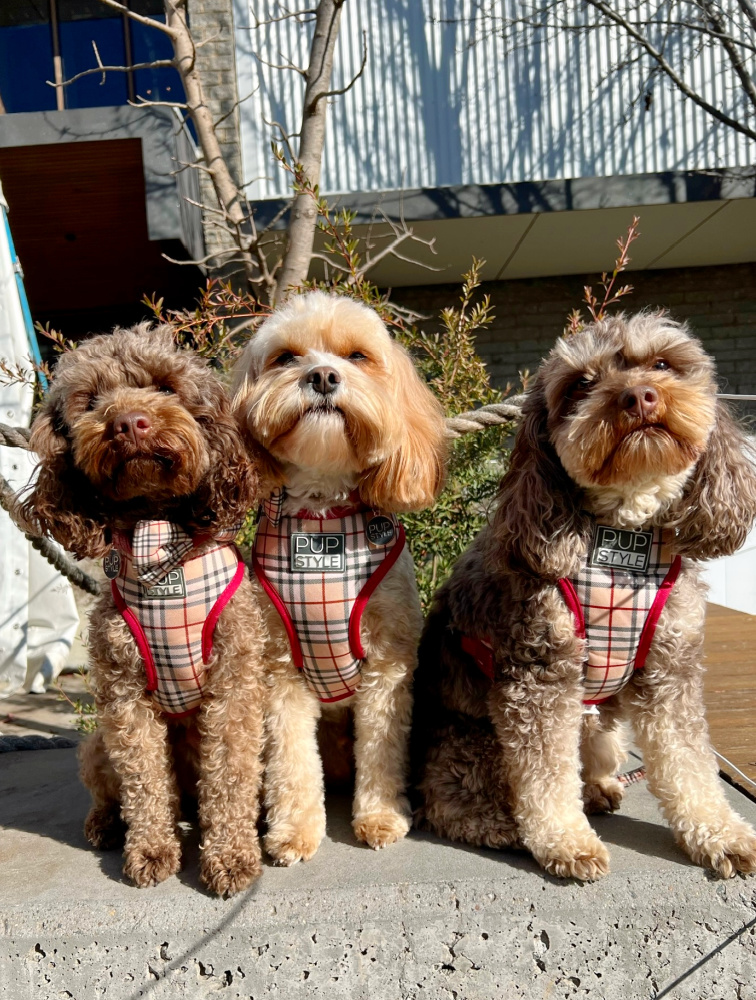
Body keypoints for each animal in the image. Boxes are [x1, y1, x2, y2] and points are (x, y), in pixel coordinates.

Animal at [22, 324, 266, 896]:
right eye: (90, 401)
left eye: (164, 386)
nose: (128, 422)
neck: (158, 544)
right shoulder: (124, 694)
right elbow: (144, 779)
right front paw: (152, 849)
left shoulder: (235, 682)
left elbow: (230, 774)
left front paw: (230, 857)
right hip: (95, 742)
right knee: (109, 789)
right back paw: (106, 824)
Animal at [235, 292, 448, 864]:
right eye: (286, 357)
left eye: (357, 356)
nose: (324, 376)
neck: (324, 516)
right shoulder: (280, 669)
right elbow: (291, 762)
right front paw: (293, 831)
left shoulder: (388, 665)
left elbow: (381, 750)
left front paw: (379, 817)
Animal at [414, 314, 756, 884]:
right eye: (581, 384)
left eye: (662, 363)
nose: (639, 396)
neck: (622, 542)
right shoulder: (539, 670)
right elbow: (545, 775)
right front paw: (565, 842)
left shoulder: (671, 669)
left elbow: (688, 762)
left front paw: (720, 833)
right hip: (473, 739)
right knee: (452, 799)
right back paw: (506, 828)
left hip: (599, 725)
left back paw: (599, 790)